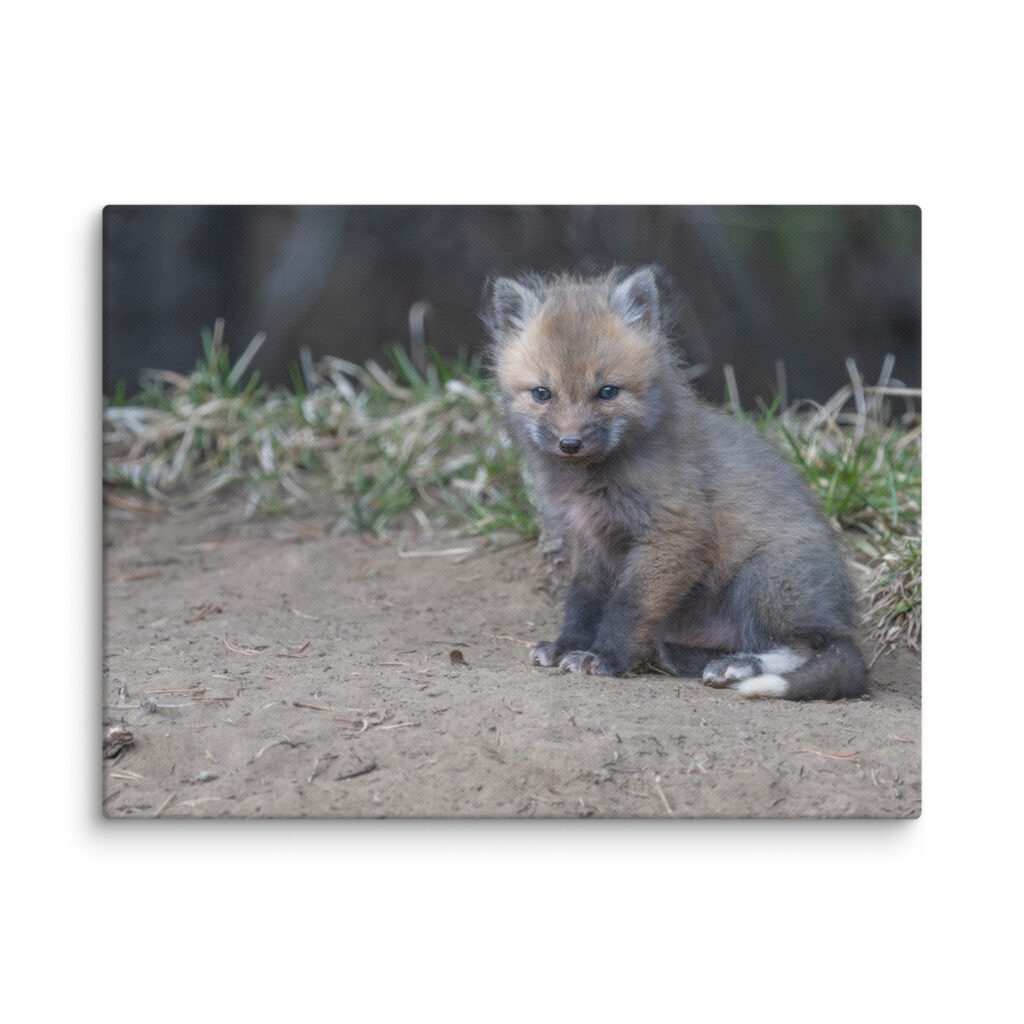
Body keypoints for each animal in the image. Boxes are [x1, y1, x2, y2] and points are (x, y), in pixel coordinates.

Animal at [481, 266, 868, 701]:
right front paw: (568, 646)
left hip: (764, 579)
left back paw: (738, 666)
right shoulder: (591, 540)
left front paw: (605, 658)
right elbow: (583, 601)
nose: (570, 443)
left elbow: (627, 605)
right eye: (542, 393)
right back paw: (679, 656)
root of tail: (840, 618)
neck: (595, 480)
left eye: (607, 392)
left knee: (806, 648)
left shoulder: (674, 532)